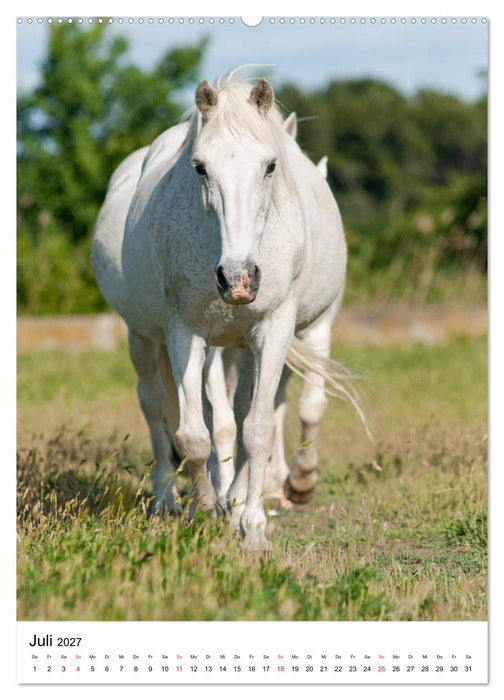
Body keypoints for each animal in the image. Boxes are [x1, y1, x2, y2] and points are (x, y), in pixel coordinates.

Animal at [92, 70, 357, 551]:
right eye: (200, 167)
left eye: (270, 166)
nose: (238, 278)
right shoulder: (186, 333)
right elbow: (196, 435)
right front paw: (207, 509)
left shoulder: (277, 331)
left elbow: (258, 426)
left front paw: (252, 526)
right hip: (143, 336)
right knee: (155, 403)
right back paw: (167, 498)